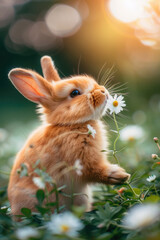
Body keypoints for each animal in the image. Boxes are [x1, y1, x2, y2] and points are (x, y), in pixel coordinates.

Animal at [7, 55, 130, 216]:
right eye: (75, 93)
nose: (103, 91)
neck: (69, 125)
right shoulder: (82, 161)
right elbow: (95, 170)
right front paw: (120, 175)